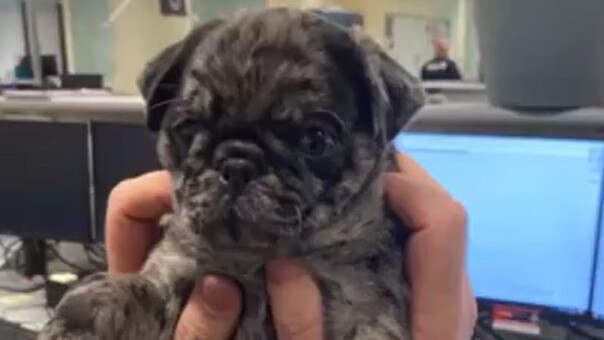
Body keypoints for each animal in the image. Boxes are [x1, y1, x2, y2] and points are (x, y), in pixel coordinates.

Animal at [40, 7, 424, 340]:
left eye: (316, 140)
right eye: (189, 128)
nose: (238, 164)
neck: (254, 259)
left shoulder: (364, 305)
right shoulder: (175, 268)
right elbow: (132, 292)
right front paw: (81, 318)